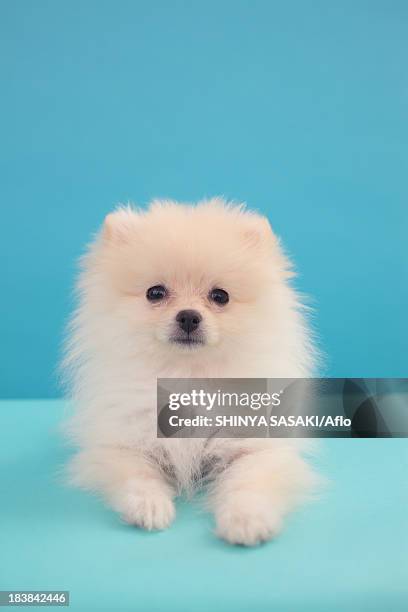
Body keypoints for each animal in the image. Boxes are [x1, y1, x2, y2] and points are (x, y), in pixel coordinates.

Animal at [63, 196, 318, 544]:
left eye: (220, 296)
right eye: (155, 293)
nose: (188, 316)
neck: (186, 376)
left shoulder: (255, 446)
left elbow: (248, 480)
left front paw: (246, 518)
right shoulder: (122, 443)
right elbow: (137, 474)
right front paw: (149, 506)